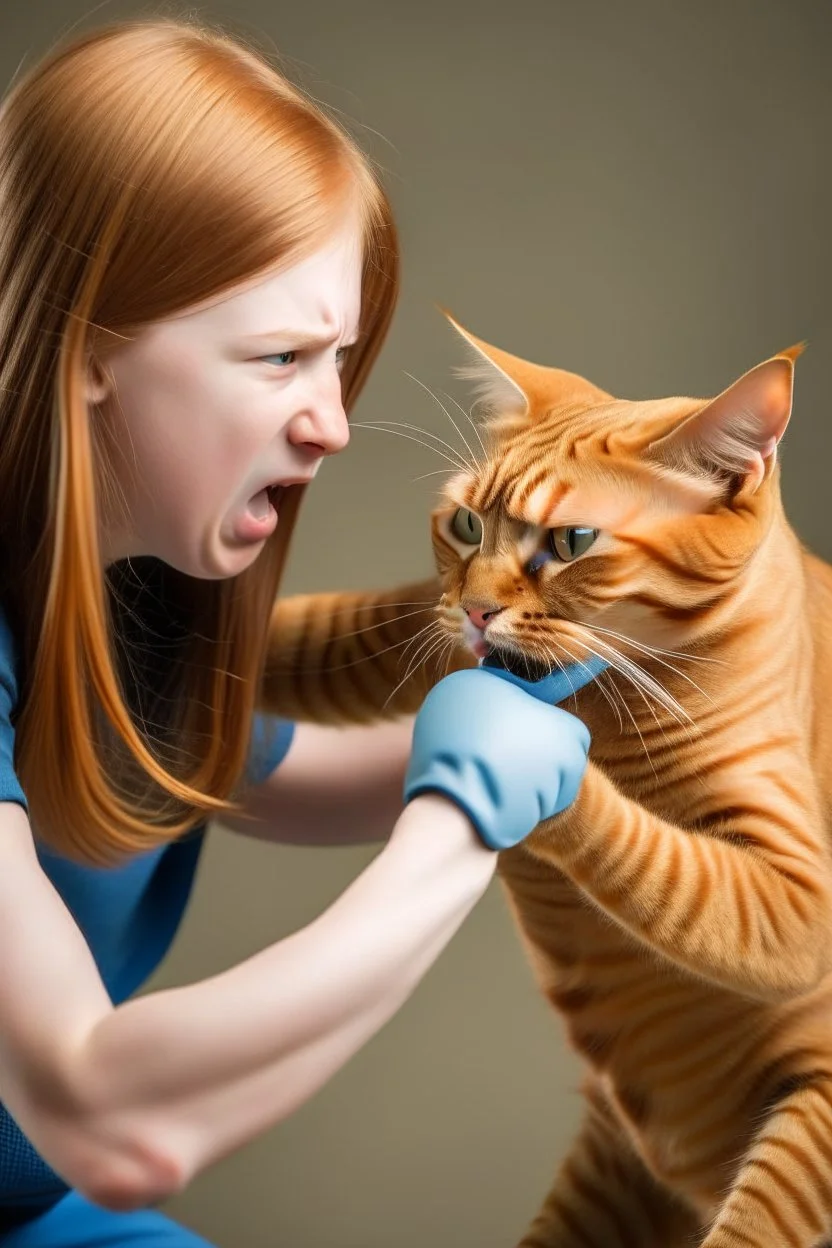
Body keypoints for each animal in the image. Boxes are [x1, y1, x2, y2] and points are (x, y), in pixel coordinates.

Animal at [263, 321, 832, 1248]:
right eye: (466, 525)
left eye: (570, 544)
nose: (477, 609)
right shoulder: (413, 627)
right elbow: (314, 635)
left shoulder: (795, 903)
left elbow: (657, 863)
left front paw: (511, 751)